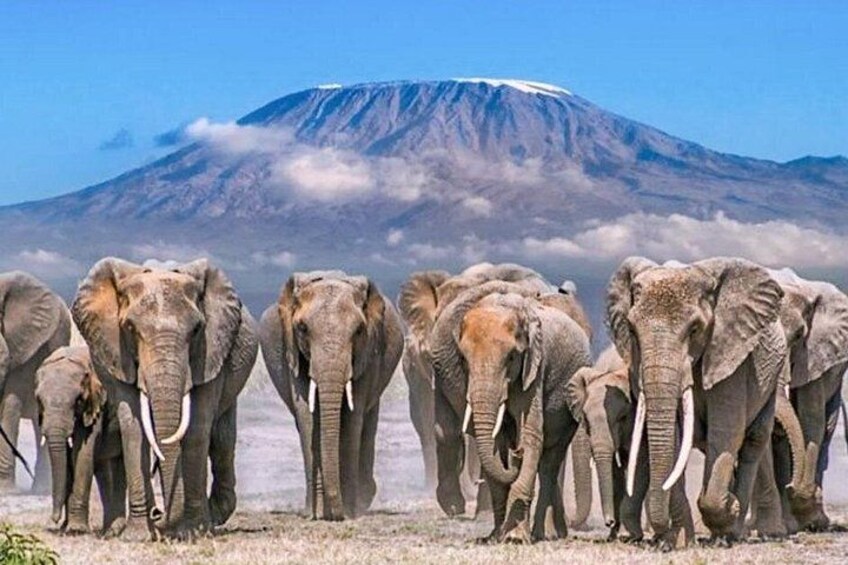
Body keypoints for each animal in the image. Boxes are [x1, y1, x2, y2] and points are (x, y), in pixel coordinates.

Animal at [34, 346, 127, 535]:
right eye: (39, 400)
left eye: (78, 401)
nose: (54, 519)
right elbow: (67, 459)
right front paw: (65, 527)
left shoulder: (97, 404)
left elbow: (83, 453)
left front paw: (76, 529)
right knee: (106, 468)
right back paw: (108, 529)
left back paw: (114, 530)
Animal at [72, 258, 259, 539]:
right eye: (130, 328)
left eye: (197, 329)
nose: (157, 513)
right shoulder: (115, 353)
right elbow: (134, 427)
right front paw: (138, 535)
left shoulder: (210, 351)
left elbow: (197, 427)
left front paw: (192, 532)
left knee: (222, 438)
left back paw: (213, 517)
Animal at [259, 271, 403, 521]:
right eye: (302, 328)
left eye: (359, 330)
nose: (336, 515)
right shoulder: (292, 352)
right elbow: (307, 417)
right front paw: (316, 514)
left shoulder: (368, 352)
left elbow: (353, 420)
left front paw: (348, 512)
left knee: (367, 422)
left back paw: (365, 497)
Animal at [566, 345, 695, 545]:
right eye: (585, 419)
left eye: (623, 417)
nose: (609, 521)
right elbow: (614, 471)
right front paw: (614, 535)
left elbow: (640, 466)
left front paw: (628, 536)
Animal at [608, 257, 787, 546]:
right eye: (632, 331)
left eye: (694, 329)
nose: (660, 536)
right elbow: (675, 438)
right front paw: (680, 542)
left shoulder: (731, 355)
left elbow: (726, 432)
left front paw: (728, 510)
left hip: (772, 379)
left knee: (754, 441)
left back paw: (732, 532)